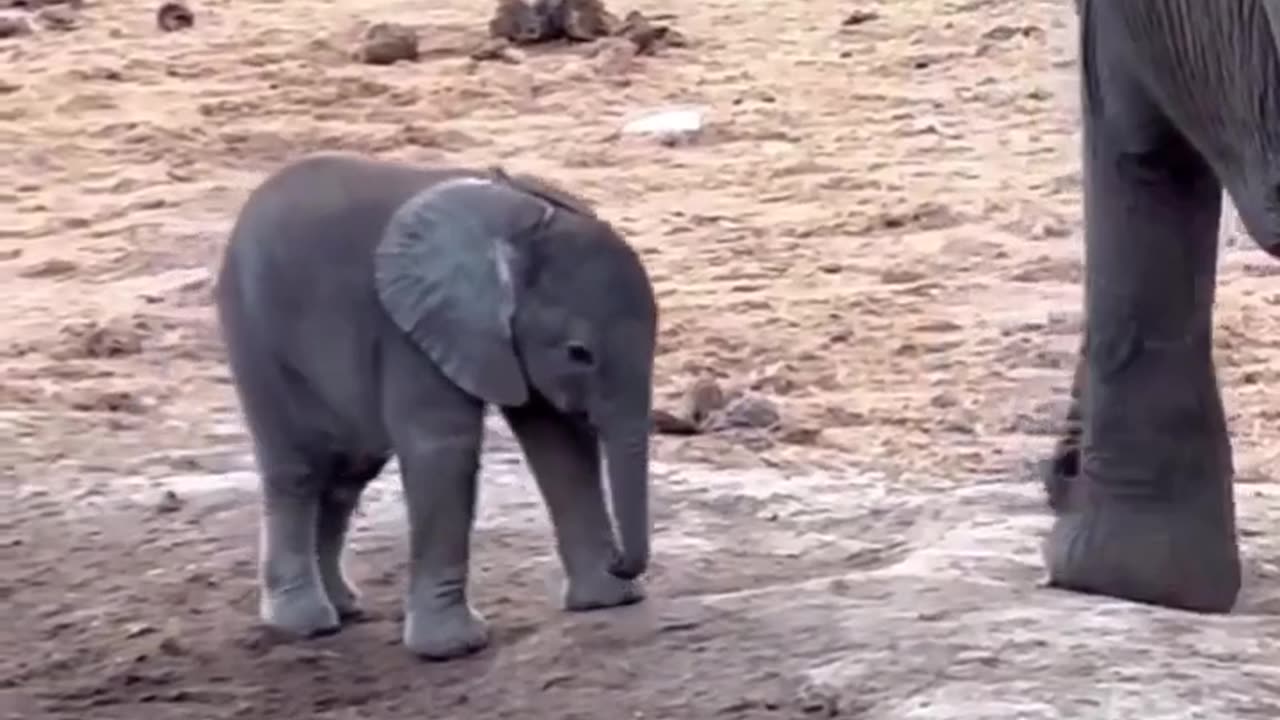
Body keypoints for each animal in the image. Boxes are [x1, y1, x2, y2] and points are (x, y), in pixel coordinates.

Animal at [213, 154, 655, 661]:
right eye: (579, 353)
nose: (622, 562)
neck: (516, 219)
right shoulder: (410, 327)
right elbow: (444, 447)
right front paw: (454, 648)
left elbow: (557, 440)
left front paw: (607, 602)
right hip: (256, 334)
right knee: (299, 469)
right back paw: (305, 624)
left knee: (348, 473)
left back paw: (344, 608)